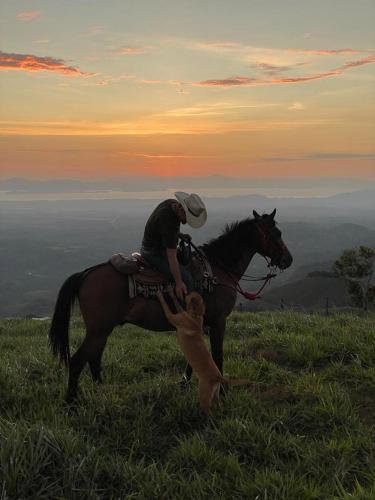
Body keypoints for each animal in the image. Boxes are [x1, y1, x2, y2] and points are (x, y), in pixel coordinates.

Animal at [157, 286, 251, 414]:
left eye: (190, 295)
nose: (185, 291)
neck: (197, 315)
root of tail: (218, 377)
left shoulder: (173, 317)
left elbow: (168, 306)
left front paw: (166, 293)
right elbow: (178, 306)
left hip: (203, 394)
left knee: (208, 410)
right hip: (214, 394)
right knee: (218, 404)